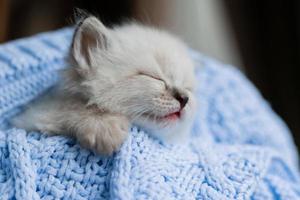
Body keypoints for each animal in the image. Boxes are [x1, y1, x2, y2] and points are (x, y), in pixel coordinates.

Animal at [12, 16, 197, 155]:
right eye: (153, 77)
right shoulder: (29, 119)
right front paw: (103, 125)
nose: (184, 98)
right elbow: (71, 108)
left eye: (188, 88)